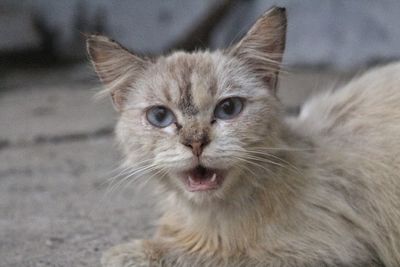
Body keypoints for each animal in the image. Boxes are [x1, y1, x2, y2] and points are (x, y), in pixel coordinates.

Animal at [86, 6, 400, 267]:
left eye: (228, 109)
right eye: (160, 116)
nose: (196, 142)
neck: (206, 217)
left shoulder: (326, 250)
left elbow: (209, 256)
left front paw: (131, 253)